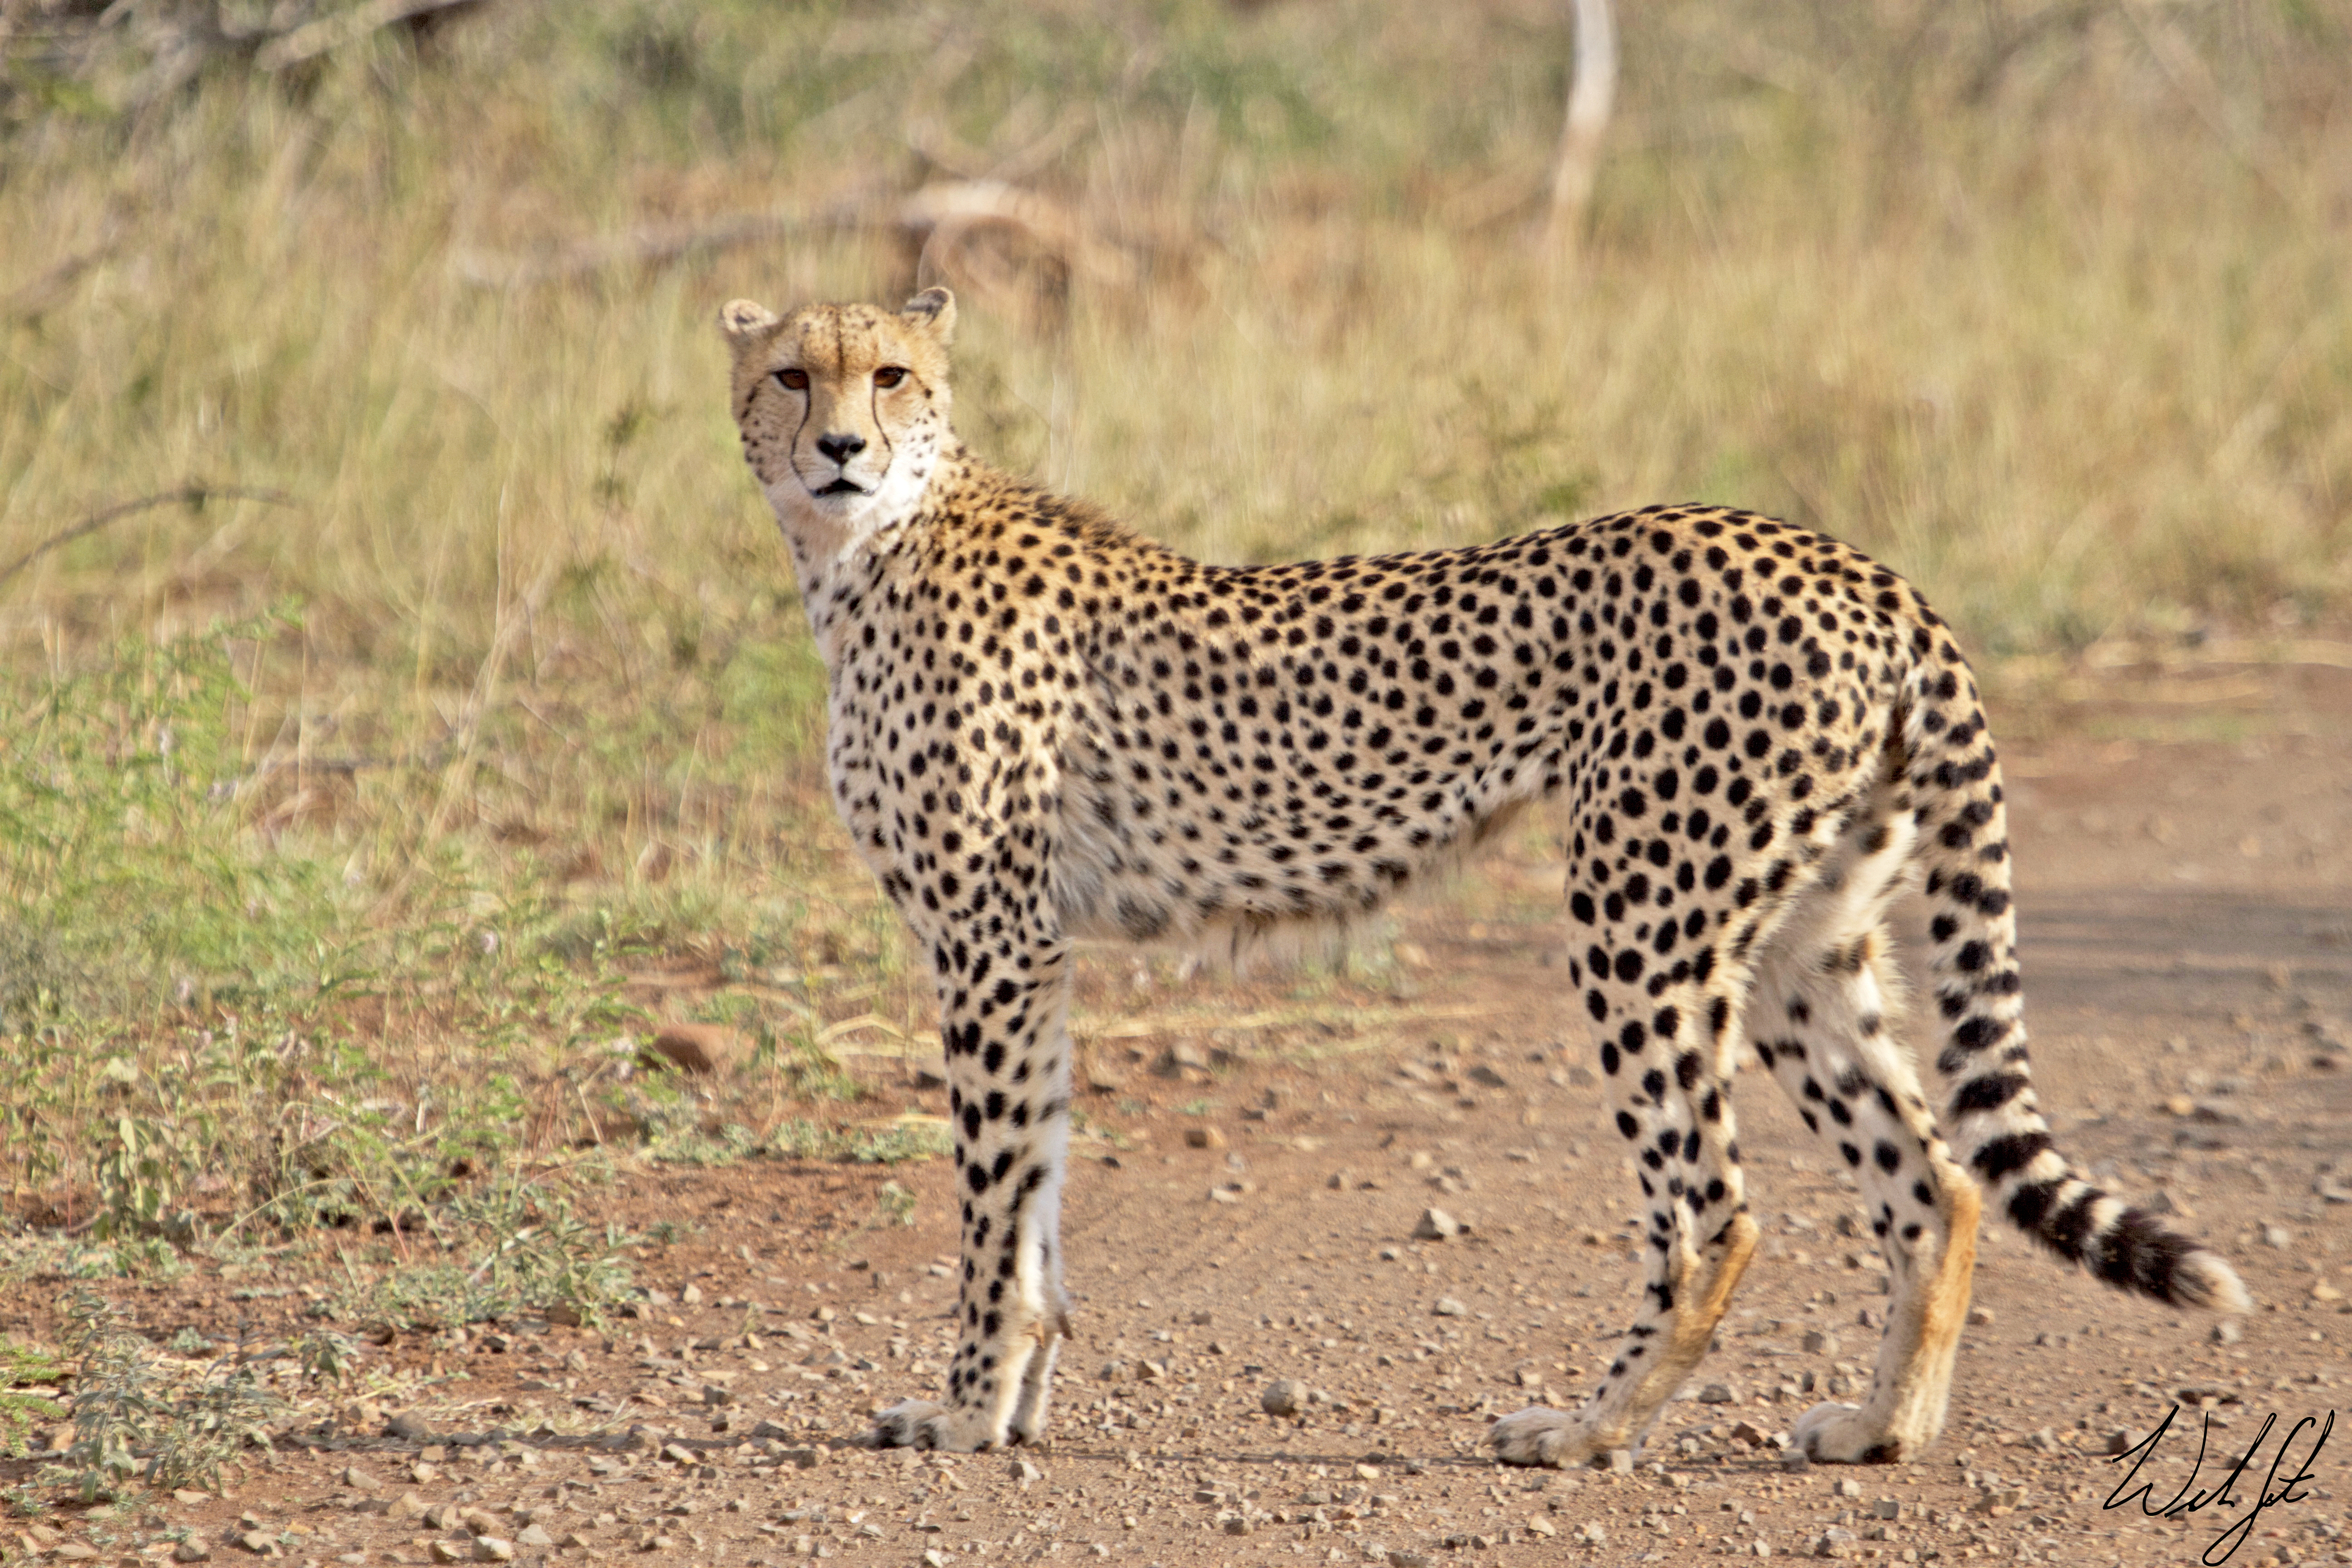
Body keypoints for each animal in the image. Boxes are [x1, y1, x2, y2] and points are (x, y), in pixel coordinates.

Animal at [717, 286, 2251, 1468]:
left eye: (891, 374)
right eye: (792, 374)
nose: (842, 446)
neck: (866, 549)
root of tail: (1855, 564)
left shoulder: (986, 942)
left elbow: (990, 1208)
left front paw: (969, 1413)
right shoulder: (1029, 950)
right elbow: (1032, 1192)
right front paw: (1010, 1408)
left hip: (1644, 919)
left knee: (1715, 1213)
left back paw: (1587, 1431)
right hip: (1805, 938)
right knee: (1934, 1183)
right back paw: (1881, 1432)